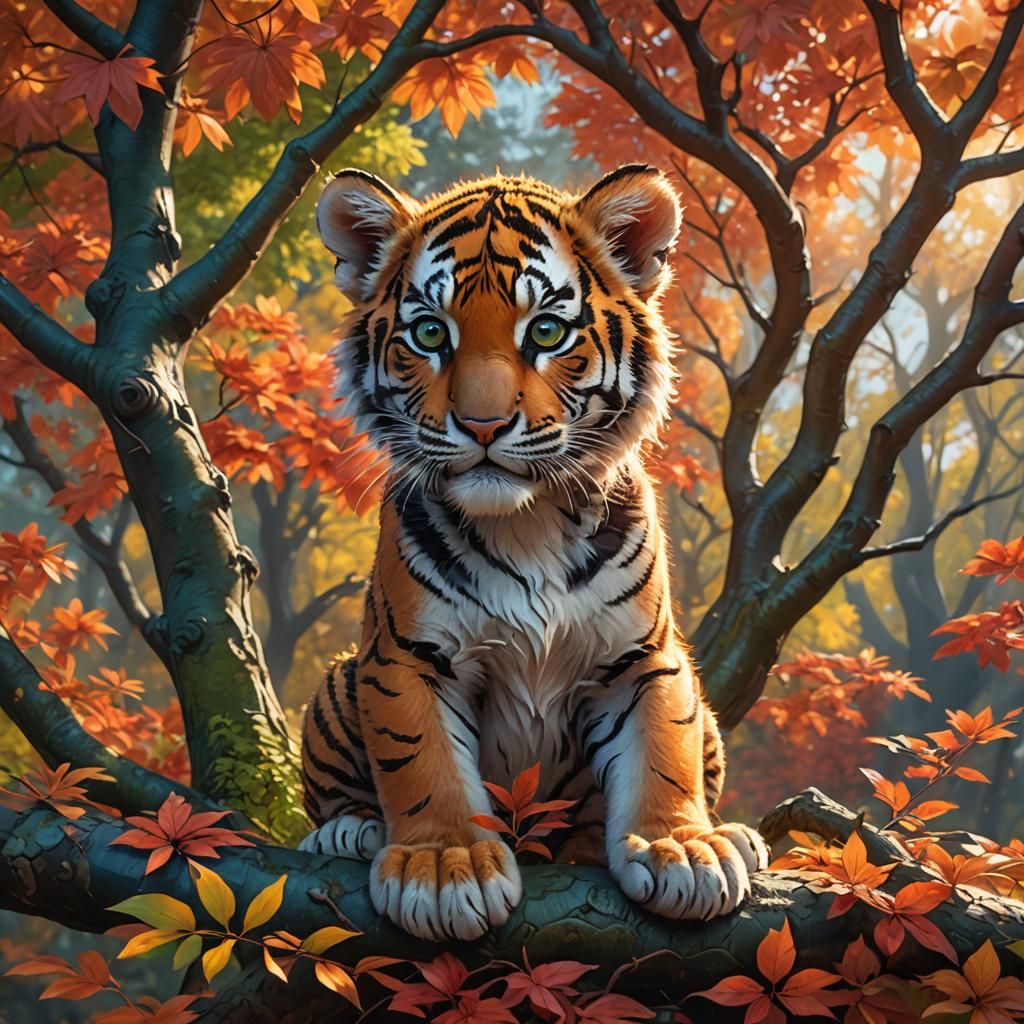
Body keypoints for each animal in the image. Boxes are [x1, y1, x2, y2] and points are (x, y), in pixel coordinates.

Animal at [298, 164, 769, 942]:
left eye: (545, 329)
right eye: (430, 332)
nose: (483, 424)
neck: (527, 524)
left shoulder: (644, 658)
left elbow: (662, 751)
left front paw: (681, 848)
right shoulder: (407, 658)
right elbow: (421, 762)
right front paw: (443, 867)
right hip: (344, 677)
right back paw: (350, 832)